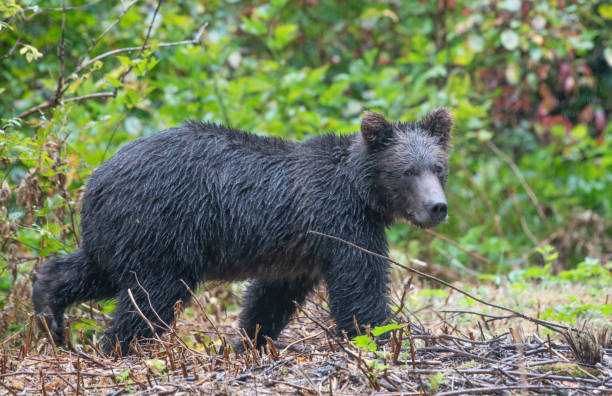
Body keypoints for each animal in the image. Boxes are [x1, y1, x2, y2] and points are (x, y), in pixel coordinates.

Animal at [33, 109, 452, 356]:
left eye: (438, 167)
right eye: (408, 171)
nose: (437, 207)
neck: (362, 191)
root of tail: (96, 180)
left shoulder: (298, 250)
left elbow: (271, 297)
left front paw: (248, 341)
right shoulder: (341, 222)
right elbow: (360, 285)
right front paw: (385, 337)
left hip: (120, 233)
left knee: (93, 269)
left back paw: (48, 312)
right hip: (161, 227)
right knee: (152, 297)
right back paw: (117, 346)